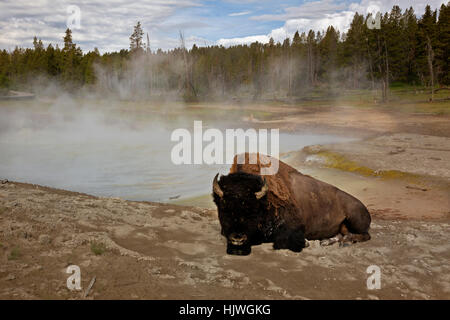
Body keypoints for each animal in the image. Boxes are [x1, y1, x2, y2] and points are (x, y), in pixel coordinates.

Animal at [213, 152, 370, 255]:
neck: (265, 202)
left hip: (355, 218)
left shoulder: (293, 227)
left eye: (252, 211)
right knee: (342, 234)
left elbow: (281, 242)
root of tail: (365, 208)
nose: (237, 238)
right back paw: (326, 241)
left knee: (365, 235)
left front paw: (305, 243)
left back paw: (346, 241)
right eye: (223, 208)